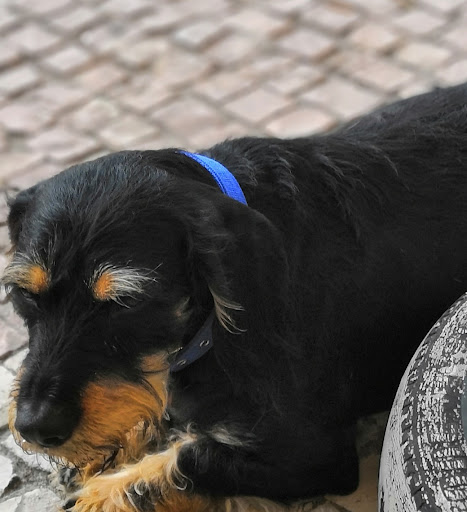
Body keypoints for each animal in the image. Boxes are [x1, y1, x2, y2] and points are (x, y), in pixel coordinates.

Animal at [4, 82, 467, 512]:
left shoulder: (315, 457)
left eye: (126, 303)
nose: (34, 427)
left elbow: (195, 457)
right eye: (23, 294)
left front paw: (108, 493)